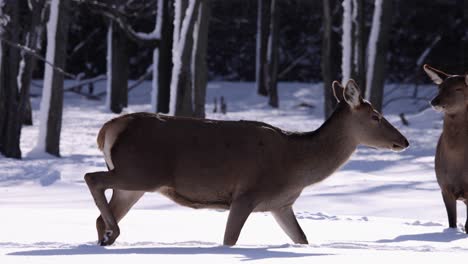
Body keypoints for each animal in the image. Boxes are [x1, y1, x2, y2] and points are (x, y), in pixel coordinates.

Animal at [85, 80, 410, 245]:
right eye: (376, 116)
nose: (404, 141)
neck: (297, 166)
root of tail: (108, 129)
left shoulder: (281, 204)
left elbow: (302, 238)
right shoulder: (246, 195)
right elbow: (229, 241)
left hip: (135, 184)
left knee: (101, 212)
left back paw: (107, 235)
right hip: (141, 171)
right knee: (92, 177)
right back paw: (114, 232)